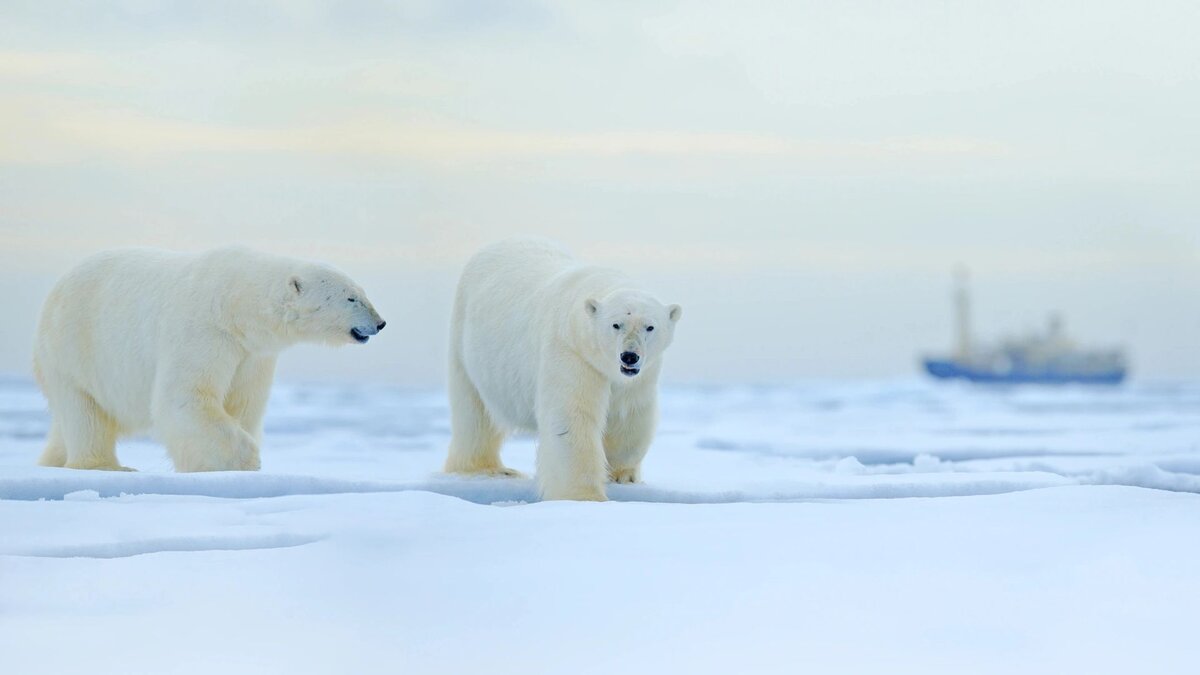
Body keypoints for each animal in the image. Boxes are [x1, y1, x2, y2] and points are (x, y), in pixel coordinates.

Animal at [32, 243, 386, 470]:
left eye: (362, 292)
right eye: (351, 298)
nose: (380, 322)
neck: (235, 304)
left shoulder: (252, 353)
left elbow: (244, 402)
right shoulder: (204, 331)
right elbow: (186, 397)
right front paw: (245, 460)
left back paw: (52, 460)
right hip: (73, 348)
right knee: (84, 412)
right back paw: (104, 466)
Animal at [444, 236, 686, 499]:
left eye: (650, 327)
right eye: (616, 324)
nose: (629, 356)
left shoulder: (640, 376)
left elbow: (629, 414)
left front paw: (622, 475)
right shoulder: (571, 352)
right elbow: (571, 418)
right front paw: (583, 495)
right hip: (465, 343)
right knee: (473, 412)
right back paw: (486, 469)